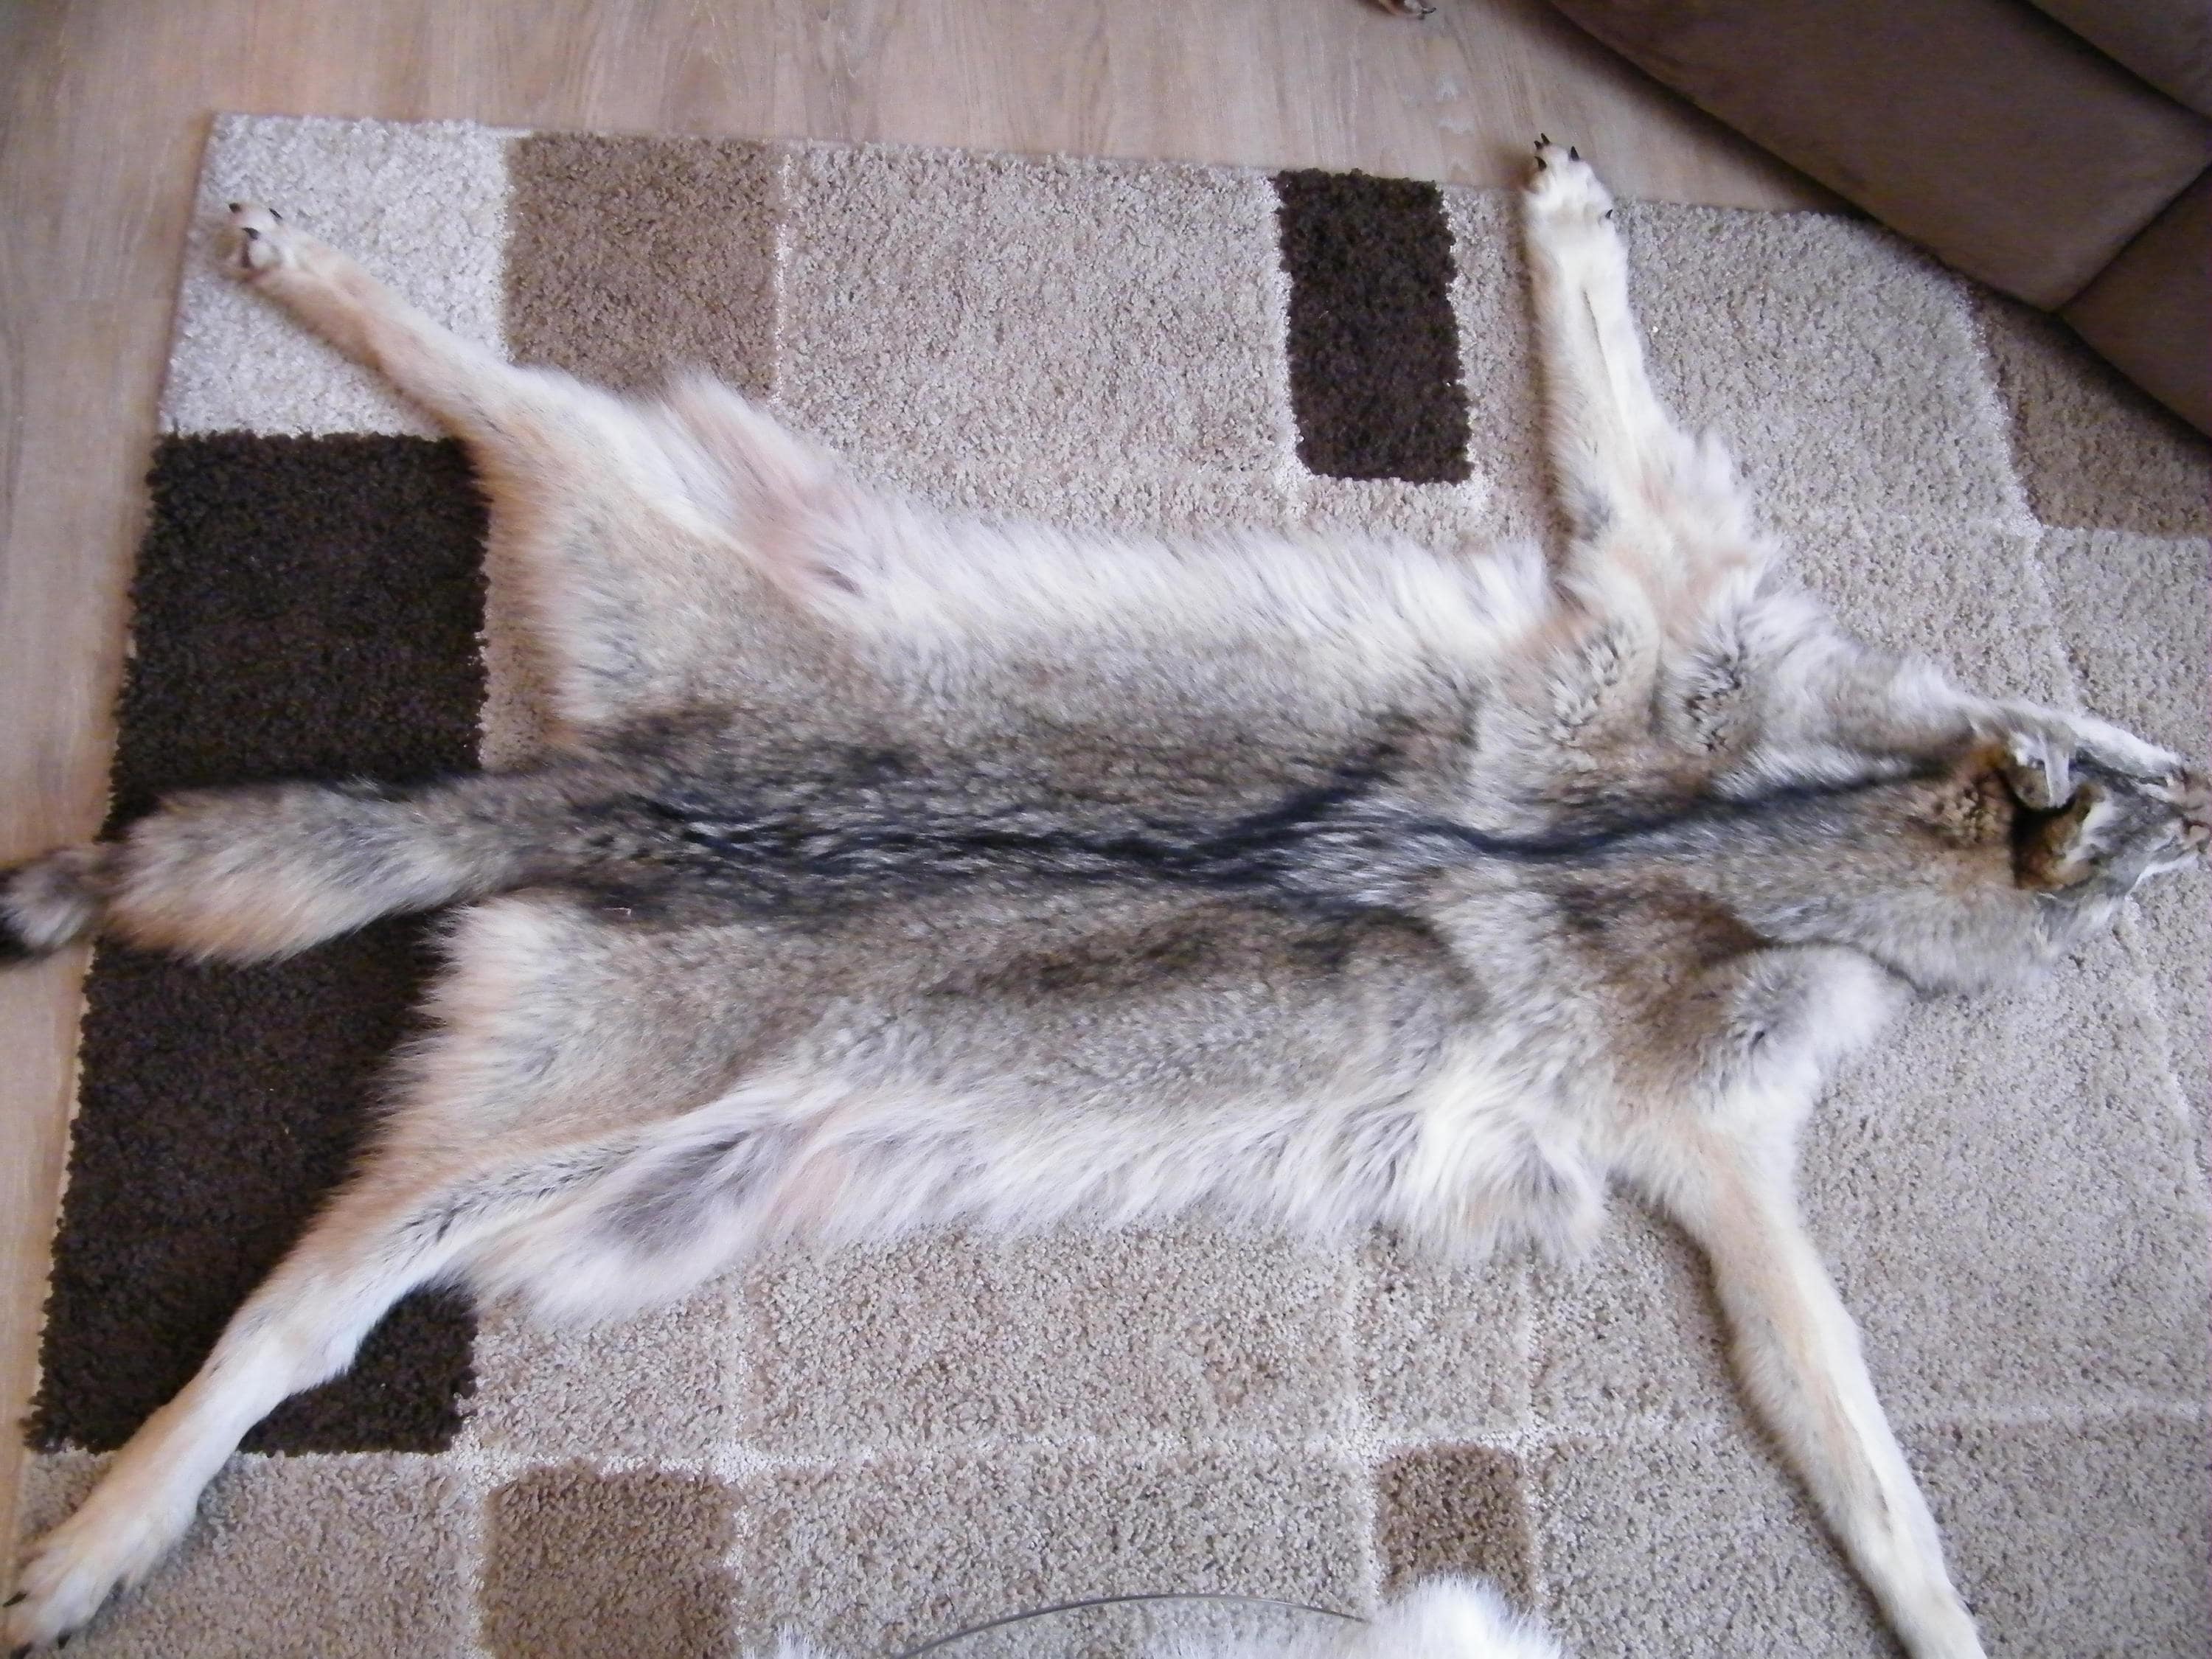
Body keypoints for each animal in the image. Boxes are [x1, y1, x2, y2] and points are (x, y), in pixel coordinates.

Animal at [1, 140, 2202, 1654]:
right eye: (2161, 802)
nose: (2204, 787)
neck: (1784, 826)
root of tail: (579, 808)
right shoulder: (1699, 910)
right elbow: (1857, 1434)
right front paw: (1946, 1618)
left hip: (579, 1057)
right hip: (591, 895)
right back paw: (111, 1526)